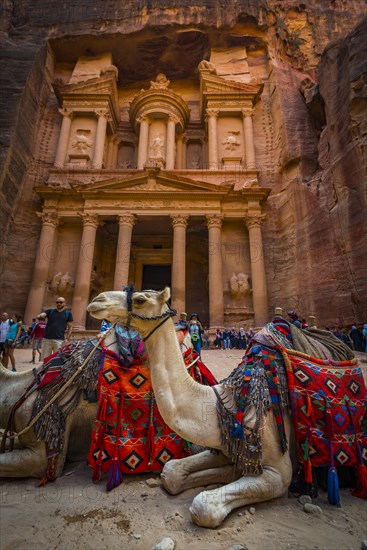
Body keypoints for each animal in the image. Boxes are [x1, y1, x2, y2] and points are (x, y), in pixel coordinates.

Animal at [87, 286, 367, 532]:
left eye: (140, 300)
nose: (97, 300)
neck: (223, 402)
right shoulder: (225, 443)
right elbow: (172, 472)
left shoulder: (278, 470)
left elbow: (204, 506)